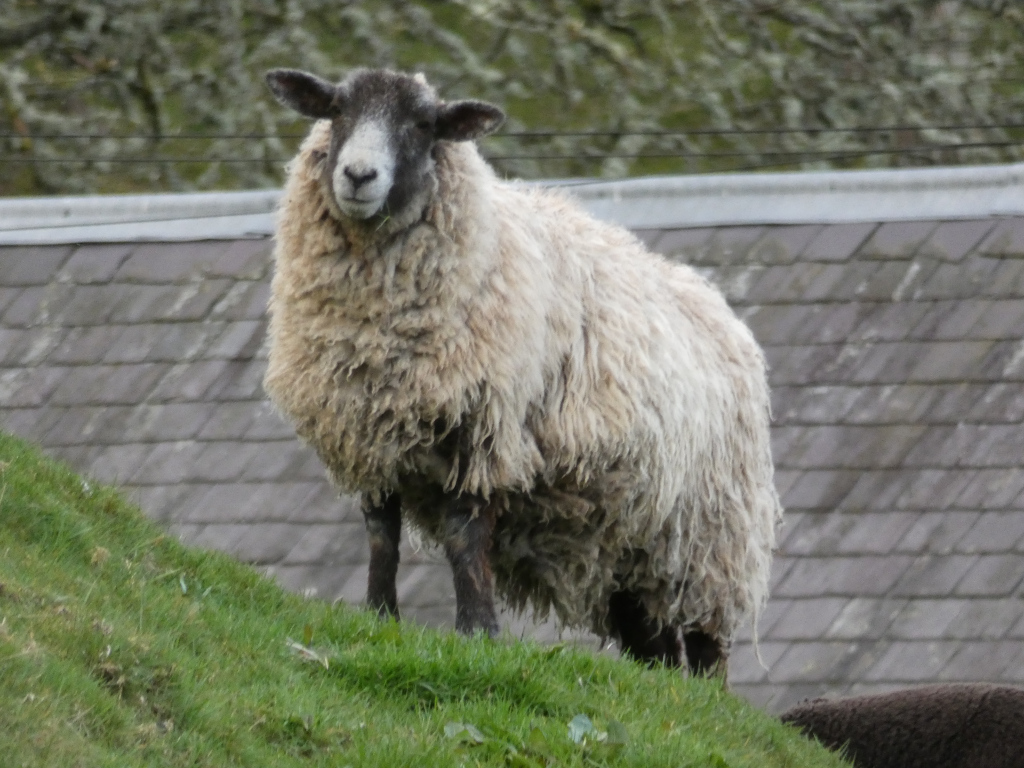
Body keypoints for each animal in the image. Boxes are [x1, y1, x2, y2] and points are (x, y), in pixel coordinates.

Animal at [261, 66, 783, 677]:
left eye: (424, 125)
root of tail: (720, 309)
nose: (359, 175)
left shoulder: (483, 425)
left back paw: (703, 691)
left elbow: (465, 536)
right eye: (338, 110)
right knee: (649, 636)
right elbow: (380, 534)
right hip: (628, 537)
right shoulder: (366, 431)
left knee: (705, 639)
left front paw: (477, 632)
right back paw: (656, 686)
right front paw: (380, 616)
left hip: (710, 533)